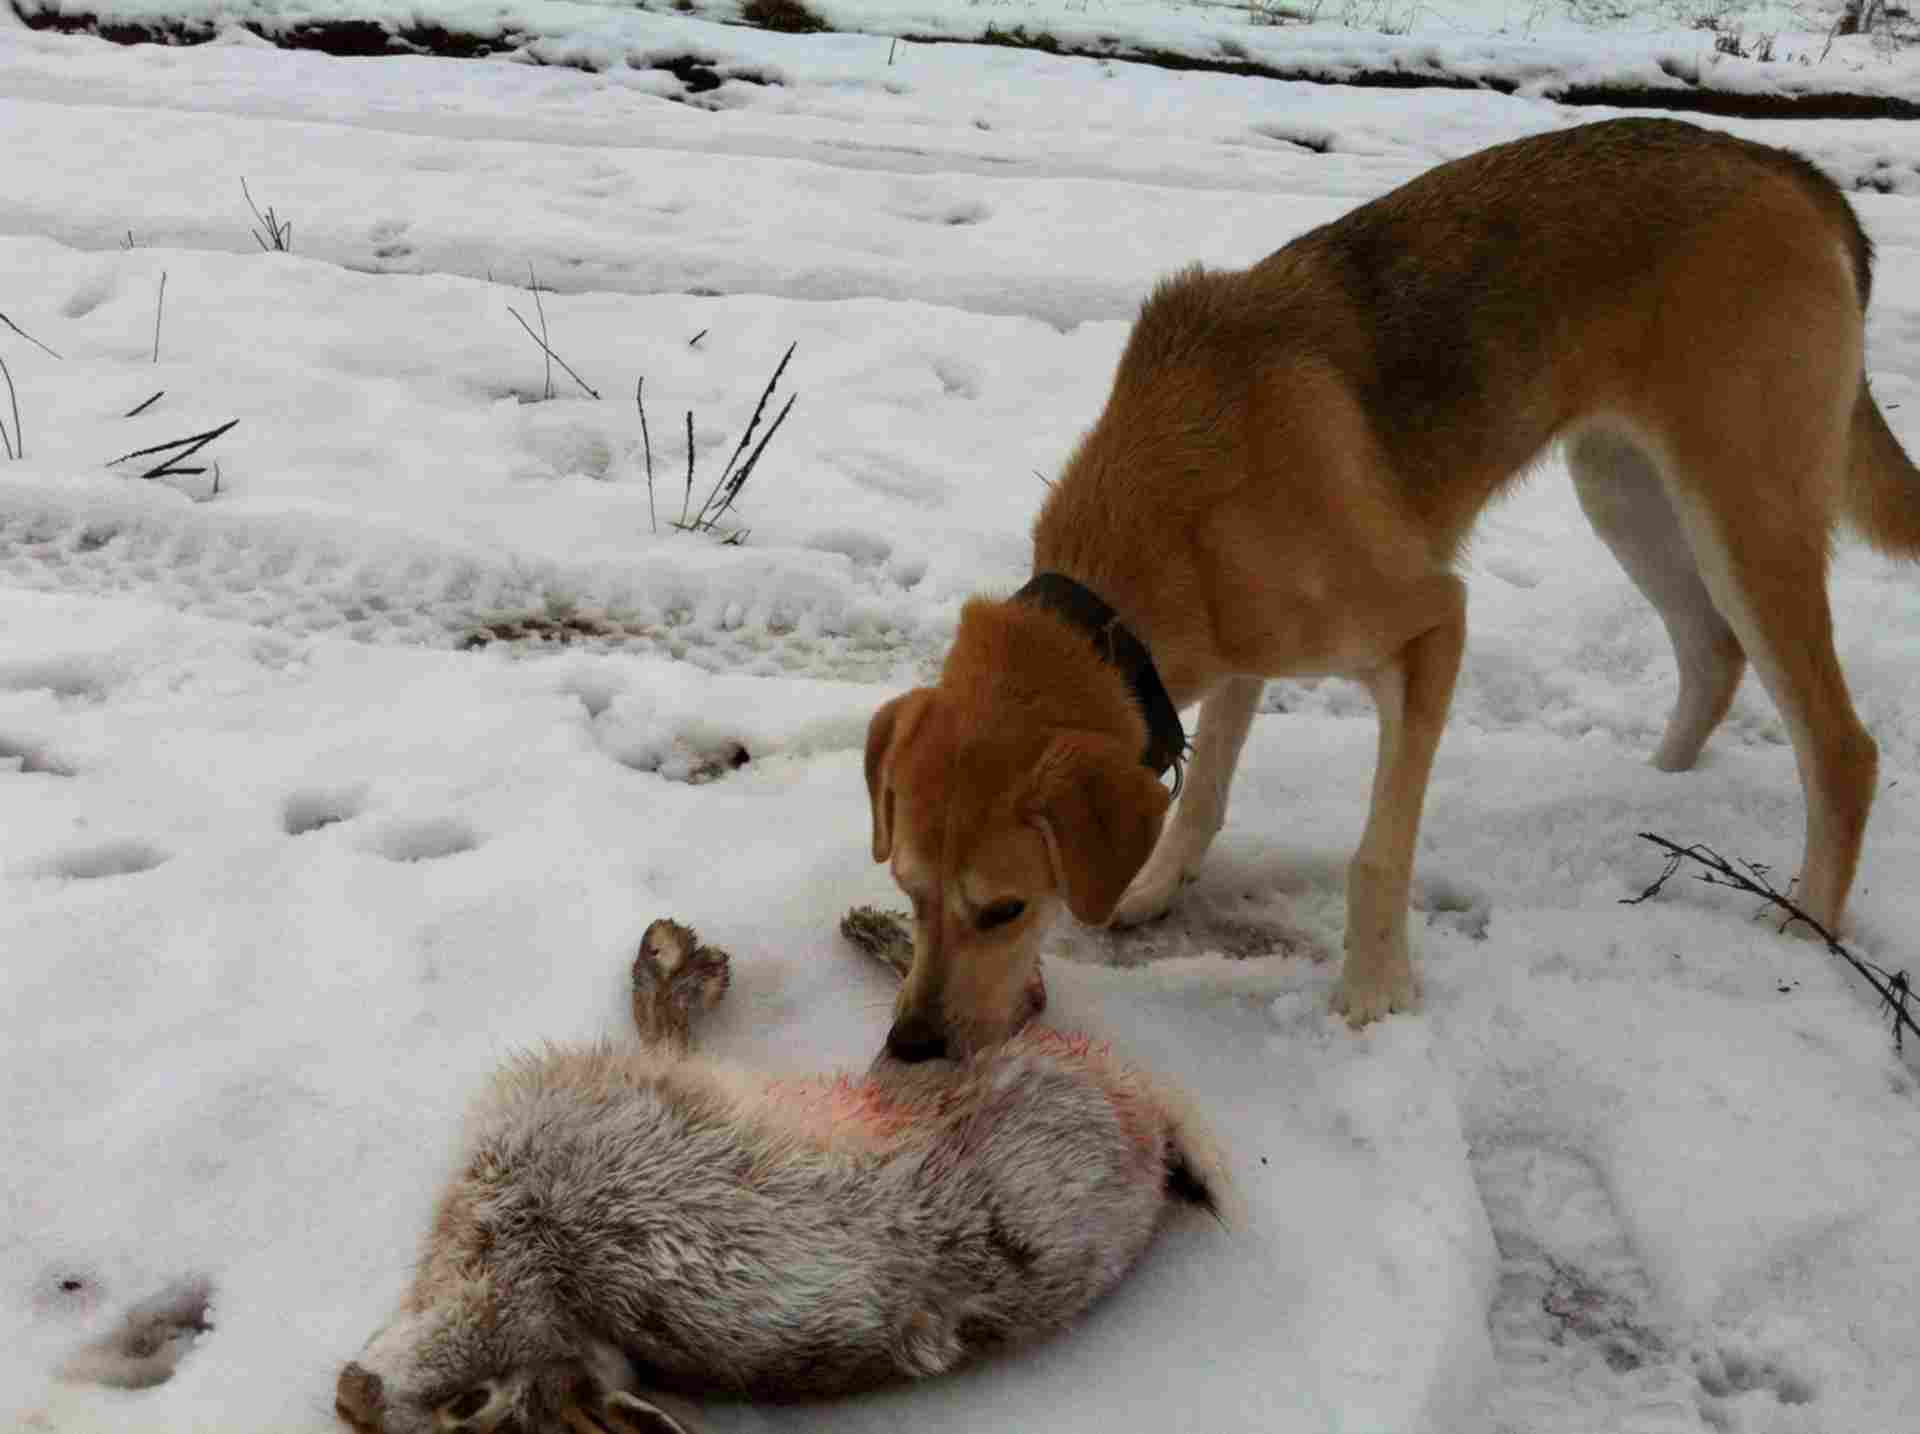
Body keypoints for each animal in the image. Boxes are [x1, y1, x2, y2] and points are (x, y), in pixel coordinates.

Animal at [871, 117, 1920, 1051]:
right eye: (909, 893)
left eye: (1005, 910)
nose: (912, 1046)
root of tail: (1783, 165)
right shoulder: (1234, 650)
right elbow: (1204, 790)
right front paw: (1156, 886)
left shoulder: (1430, 630)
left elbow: (1376, 854)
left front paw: (1375, 994)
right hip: (1624, 490)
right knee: (1712, 653)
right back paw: (1650, 789)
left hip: (1743, 520)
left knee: (1841, 749)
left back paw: (1804, 932)